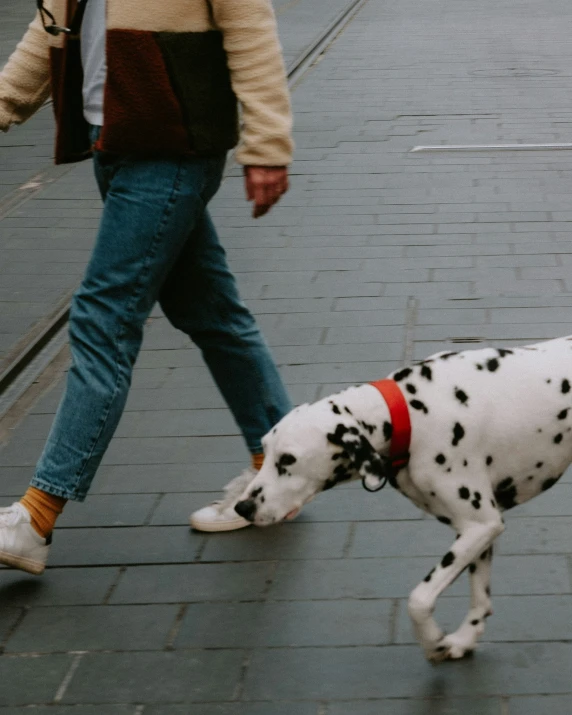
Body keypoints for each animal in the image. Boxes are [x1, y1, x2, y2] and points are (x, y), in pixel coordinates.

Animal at [233, 338, 572, 664]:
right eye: (264, 451)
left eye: (287, 460)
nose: (242, 507)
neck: (413, 413)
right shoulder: (477, 530)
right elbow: (480, 598)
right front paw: (464, 639)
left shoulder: (481, 525)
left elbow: (418, 600)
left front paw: (434, 642)